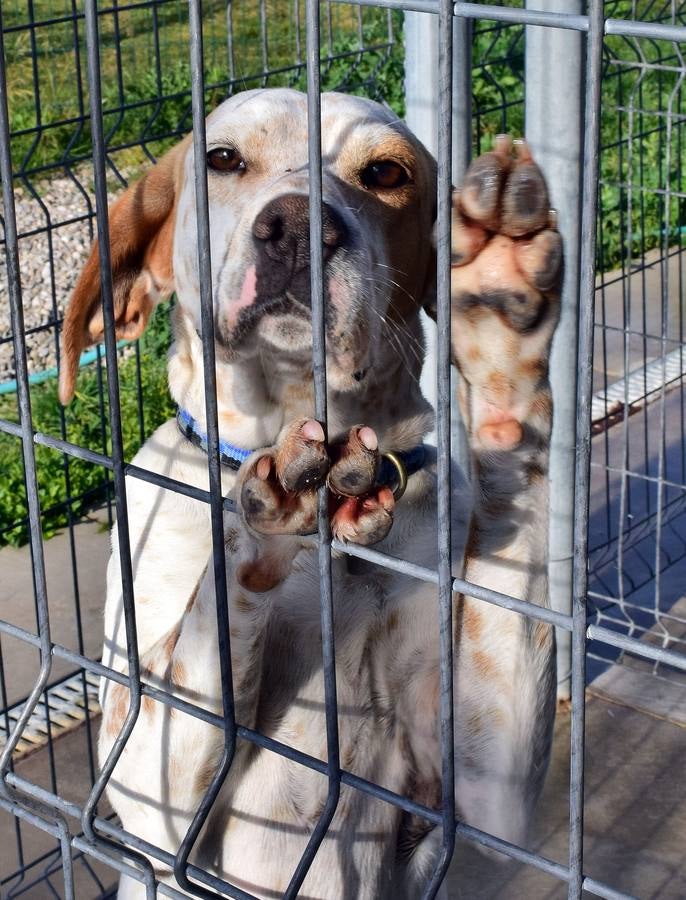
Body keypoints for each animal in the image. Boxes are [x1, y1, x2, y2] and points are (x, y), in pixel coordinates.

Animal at [60, 88, 564, 896]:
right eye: (223, 157)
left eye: (385, 171)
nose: (297, 227)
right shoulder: (141, 773)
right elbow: (204, 625)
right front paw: (265, 508)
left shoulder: (487, 798)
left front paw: (498, 313)